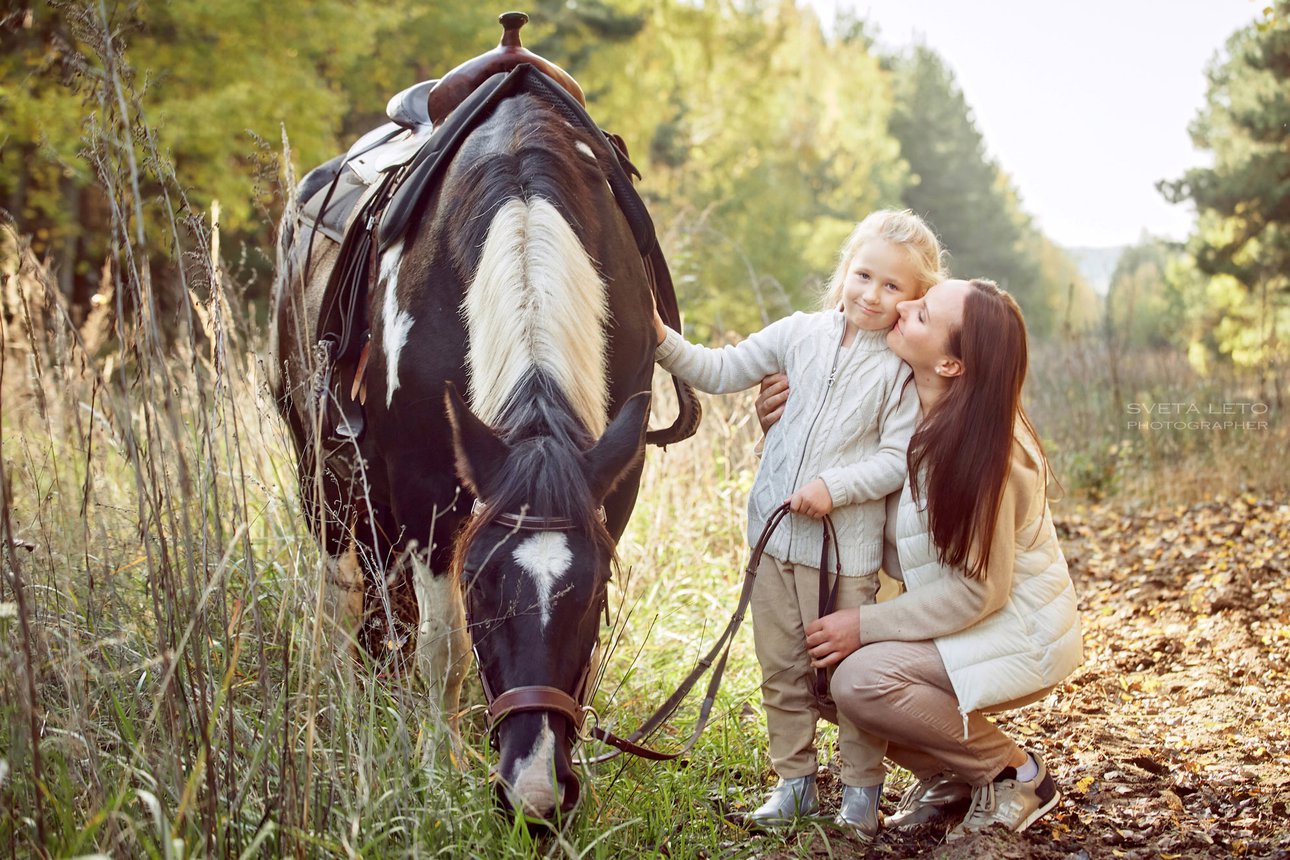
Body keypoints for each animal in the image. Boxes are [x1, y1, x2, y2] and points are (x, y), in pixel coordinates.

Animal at [267, 28, 701, 820]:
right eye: (485, 594)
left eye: (591, 596)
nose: (535, 796)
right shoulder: (428, 498)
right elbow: (443, 650)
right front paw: (436, 769)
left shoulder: (609, 491)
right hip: (323, 475)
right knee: (341, 593)